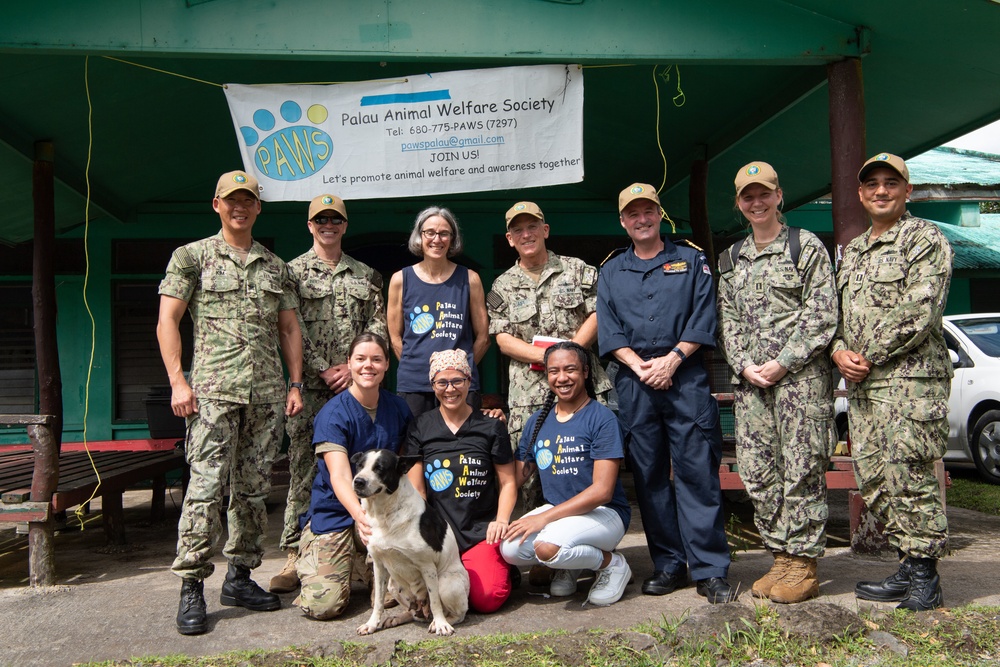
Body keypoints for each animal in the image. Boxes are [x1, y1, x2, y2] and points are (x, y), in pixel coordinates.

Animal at [352, 448, 468, 636]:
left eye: (379, 468)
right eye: (359, 466)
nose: (358, 481)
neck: (385, 513)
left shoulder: (427, 566)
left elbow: (435, 601)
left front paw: (441, 625)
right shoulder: (379, 565)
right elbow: (378, 602)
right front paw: (371, 624)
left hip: (446, 583)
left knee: (458, 614)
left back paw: (439, 622)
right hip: (393, 584)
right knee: (414, 614)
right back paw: (398, 617)